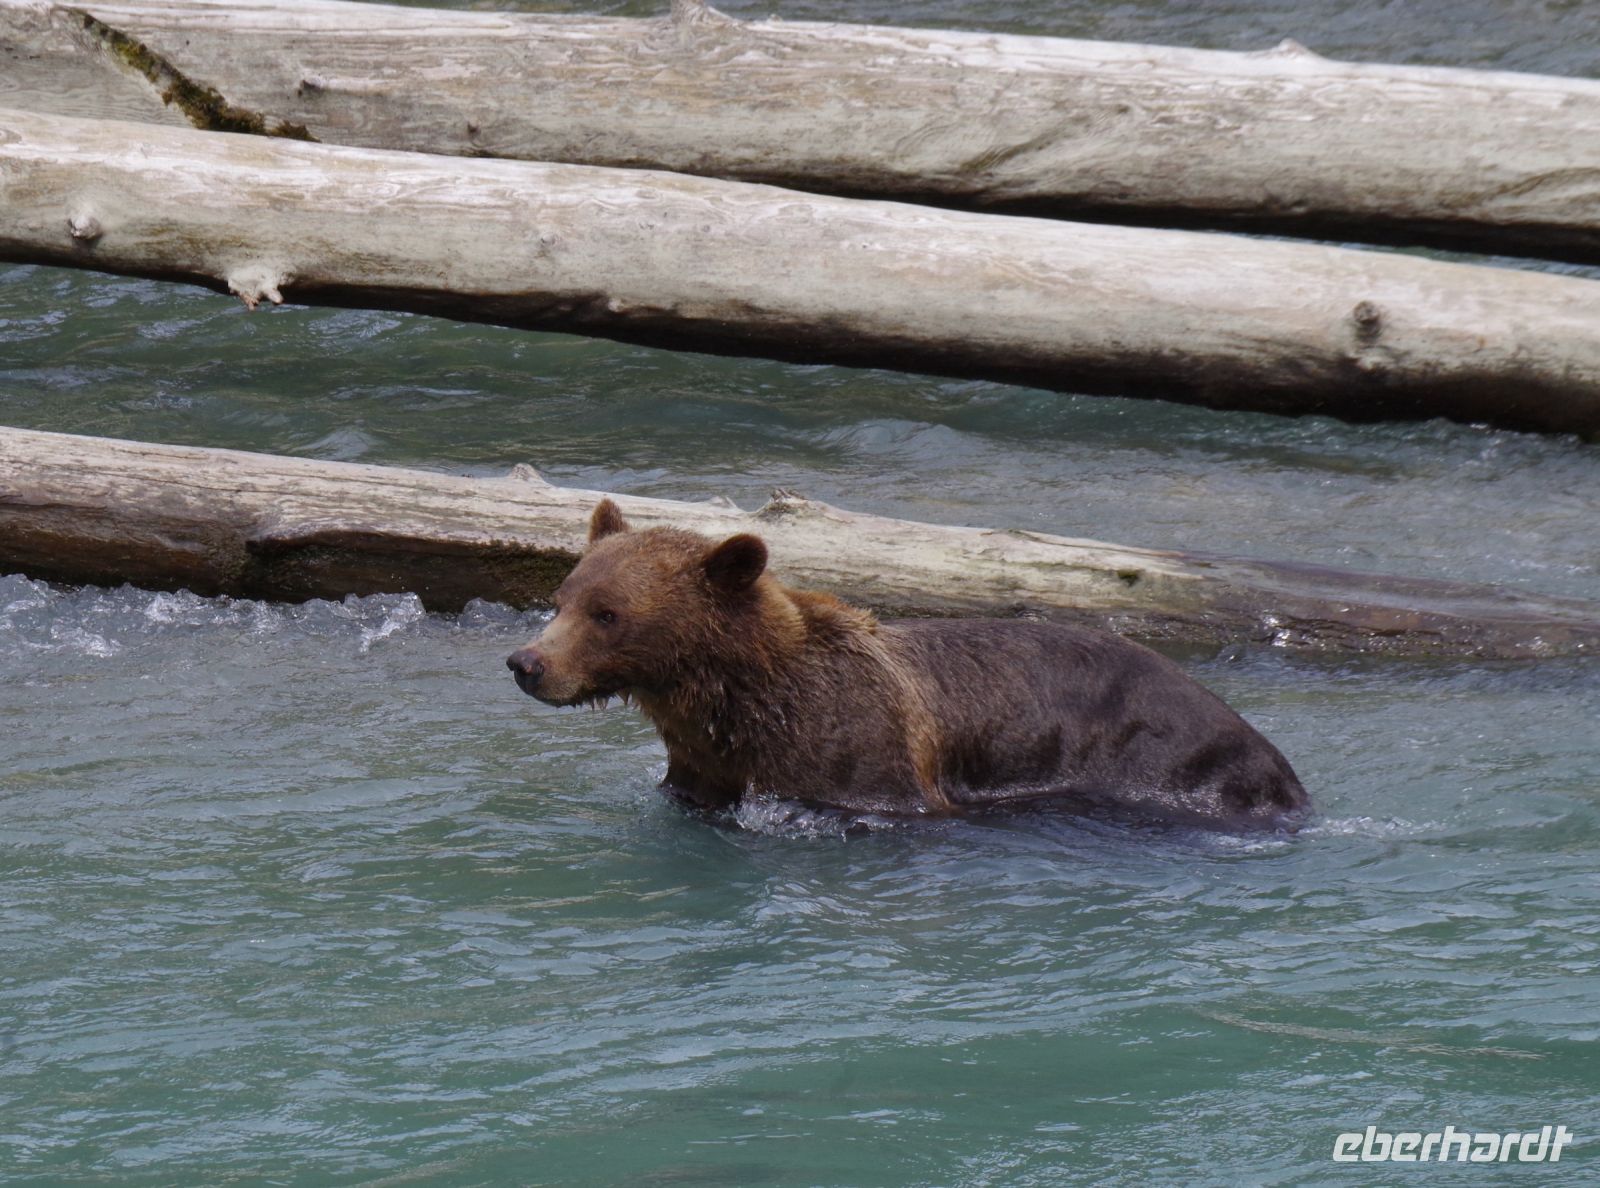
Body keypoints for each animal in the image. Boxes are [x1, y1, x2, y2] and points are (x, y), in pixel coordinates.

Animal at [506, 499, 1308, 830]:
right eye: (562, 597)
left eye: (608, 613)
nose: (526, 662)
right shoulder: (704, 766)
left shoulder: (860, 765)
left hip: (1170, 759)